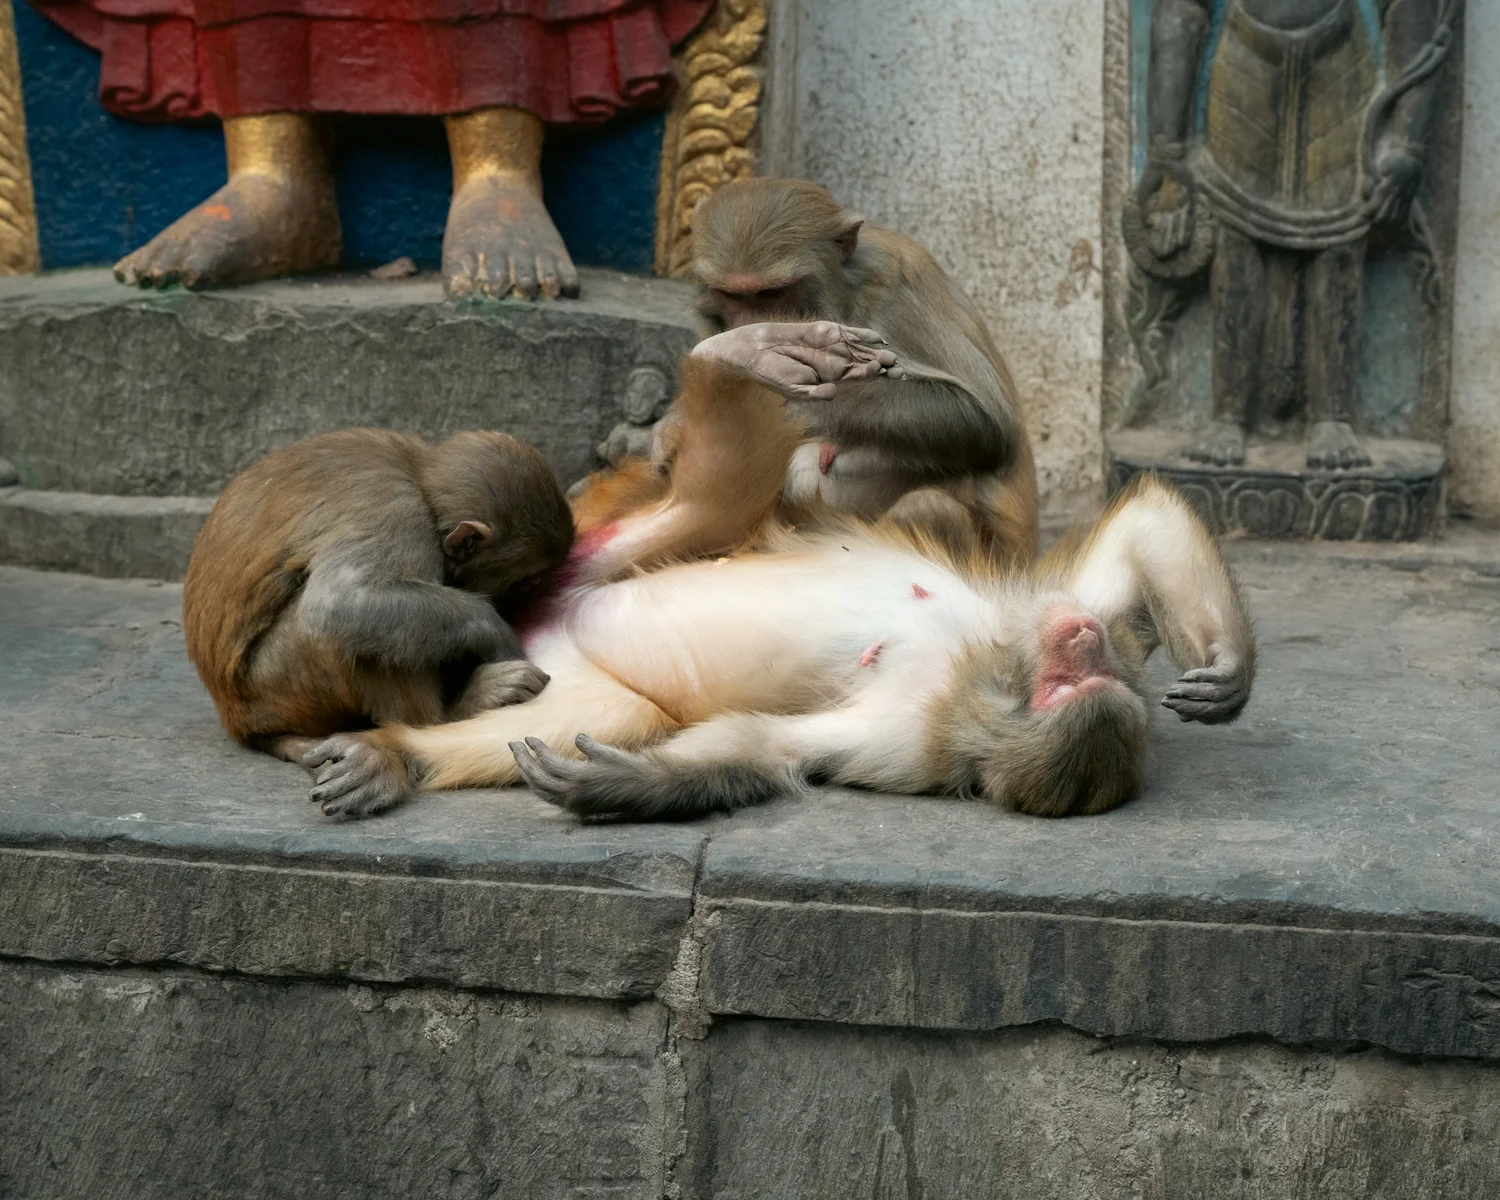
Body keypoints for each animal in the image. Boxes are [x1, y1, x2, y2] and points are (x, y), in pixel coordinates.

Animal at [182, 427, 575, 764]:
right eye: (522, 582)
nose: (518, 605)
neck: (418, 475)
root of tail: (236, 720)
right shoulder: (401, 514)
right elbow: (340, 603)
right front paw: (494, 630)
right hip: (277, 685)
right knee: (348, 636)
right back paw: (450, 714)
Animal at [298, 340, 1253, 820]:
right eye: (1072, 669)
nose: (1081, 640)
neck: (977, 665)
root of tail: (540, 613)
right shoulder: (1043, 615)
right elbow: (1134, 539)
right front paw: (1229, 670)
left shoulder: (905, 740)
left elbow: (760, 746)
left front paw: (628, 786)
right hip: (603, 538)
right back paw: (749, 355)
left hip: (565, 646)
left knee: (597, 708)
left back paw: (404, 754)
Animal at [647, 176, 1041, 565]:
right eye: (731, 295)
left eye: (772, 293)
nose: (751, 328)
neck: (844, 293)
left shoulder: (896, 289)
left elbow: (983, 422)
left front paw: (785, 397)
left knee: (927, 506)